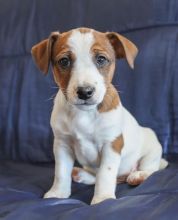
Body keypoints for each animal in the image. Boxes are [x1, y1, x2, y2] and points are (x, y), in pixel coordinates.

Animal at [31, 27, 168, 205]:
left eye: (101, 59)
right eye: (64, 61)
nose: (85, 92)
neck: (84, 113)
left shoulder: (112, 144)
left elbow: (105, 174)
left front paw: (103, 198)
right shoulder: (62, 144)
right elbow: (61, 171)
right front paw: (57, 193)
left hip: (152, 147)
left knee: (151, 169)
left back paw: (138, 175)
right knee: (94, 176)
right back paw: (80, 174)